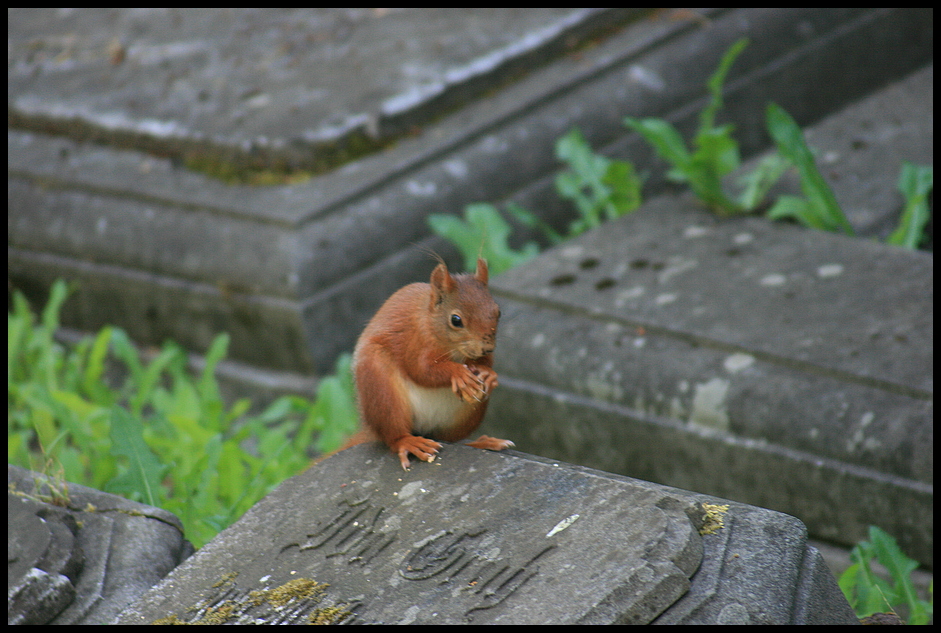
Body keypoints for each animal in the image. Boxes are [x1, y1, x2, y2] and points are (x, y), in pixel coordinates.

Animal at [346, 256, 516, 470]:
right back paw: (409, 442)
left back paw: (483, 443)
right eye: (456, 320)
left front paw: (489, 375)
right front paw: (458, 373)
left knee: (449, 439)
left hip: (464, 417)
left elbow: (484, 364)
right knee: (394, 436)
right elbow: (421, 371)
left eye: (498, 311)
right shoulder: (416, 342)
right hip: (381, 389)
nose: (487, 348)